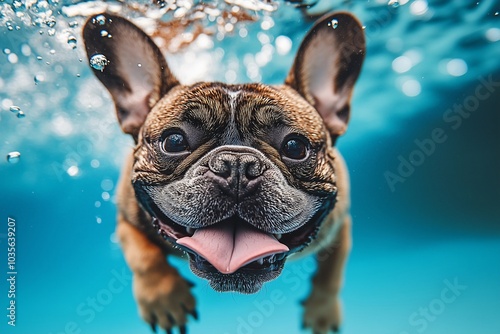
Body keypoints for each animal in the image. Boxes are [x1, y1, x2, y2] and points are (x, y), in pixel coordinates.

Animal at [81, 11, 364, 334]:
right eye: (174, 141)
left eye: (295, 147)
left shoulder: (339, 227)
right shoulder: (126, 218)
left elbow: (332, 273)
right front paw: (165, 299)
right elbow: (143, 255)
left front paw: (322, 310)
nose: (236, 166)